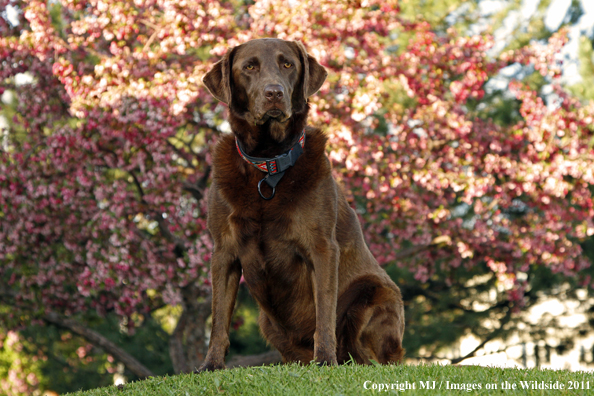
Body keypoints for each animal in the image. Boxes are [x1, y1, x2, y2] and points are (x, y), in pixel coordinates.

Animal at [198, 38, 402, 370]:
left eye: (287, 64)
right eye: (249, 66)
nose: (274, 93)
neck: (268, 163)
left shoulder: (322, 247)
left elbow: (324, 314)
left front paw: (325, 360)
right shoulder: (223, 250)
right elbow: (218, 320)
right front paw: (211, 366)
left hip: (374, 295)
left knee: (370, 357)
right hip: (267, 322)